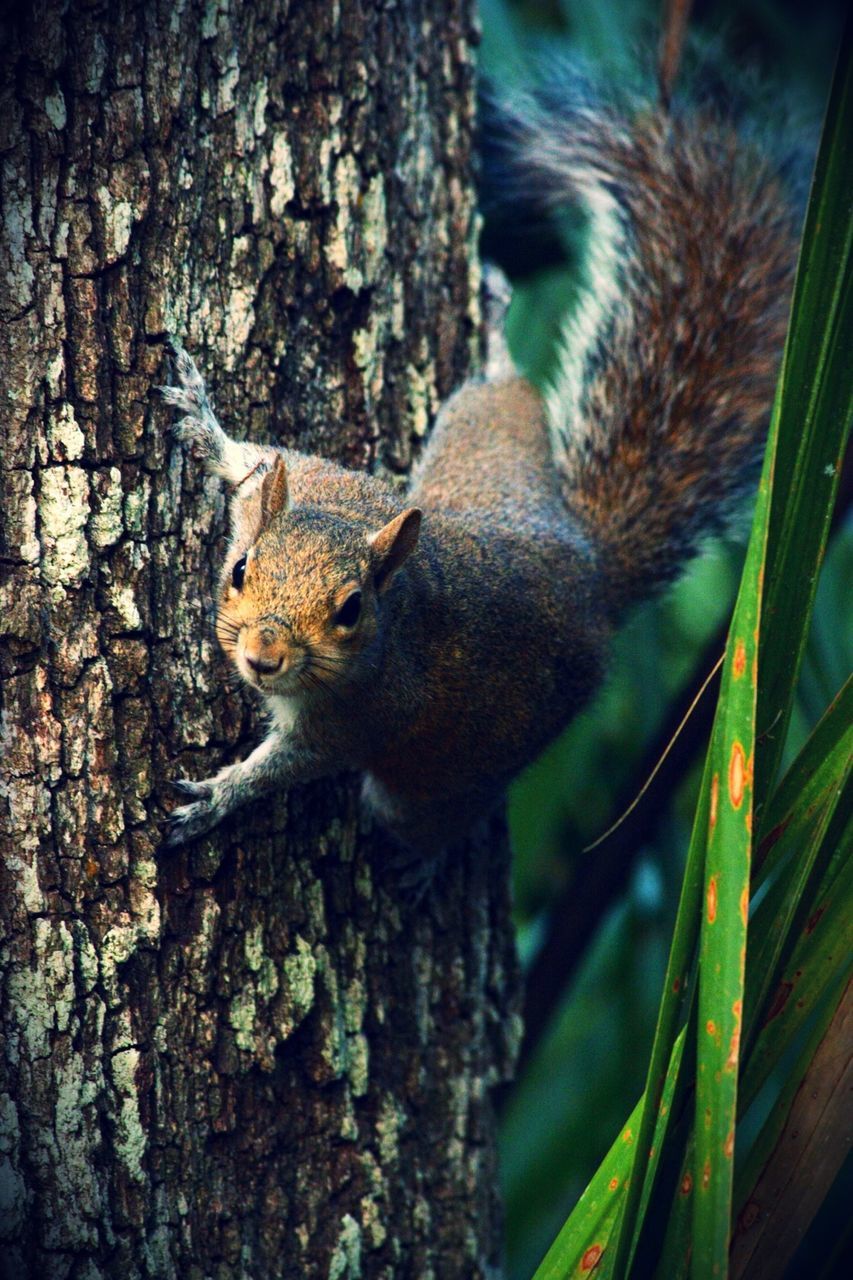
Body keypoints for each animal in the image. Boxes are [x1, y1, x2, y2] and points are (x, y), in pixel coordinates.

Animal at [159, 77, 799, 870]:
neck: (394, 606)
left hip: (438, 777)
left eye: (350, 612)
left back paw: (420, 861)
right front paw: (202, 421)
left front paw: (217, 799)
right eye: (241, 569)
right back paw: (494, 334)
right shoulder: (316, 482)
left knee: (420, 815)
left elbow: (290, 765)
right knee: (503, 394)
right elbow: (249, 462)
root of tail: (590, 576)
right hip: (490, 450)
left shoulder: (358, 716)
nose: (263, 657)